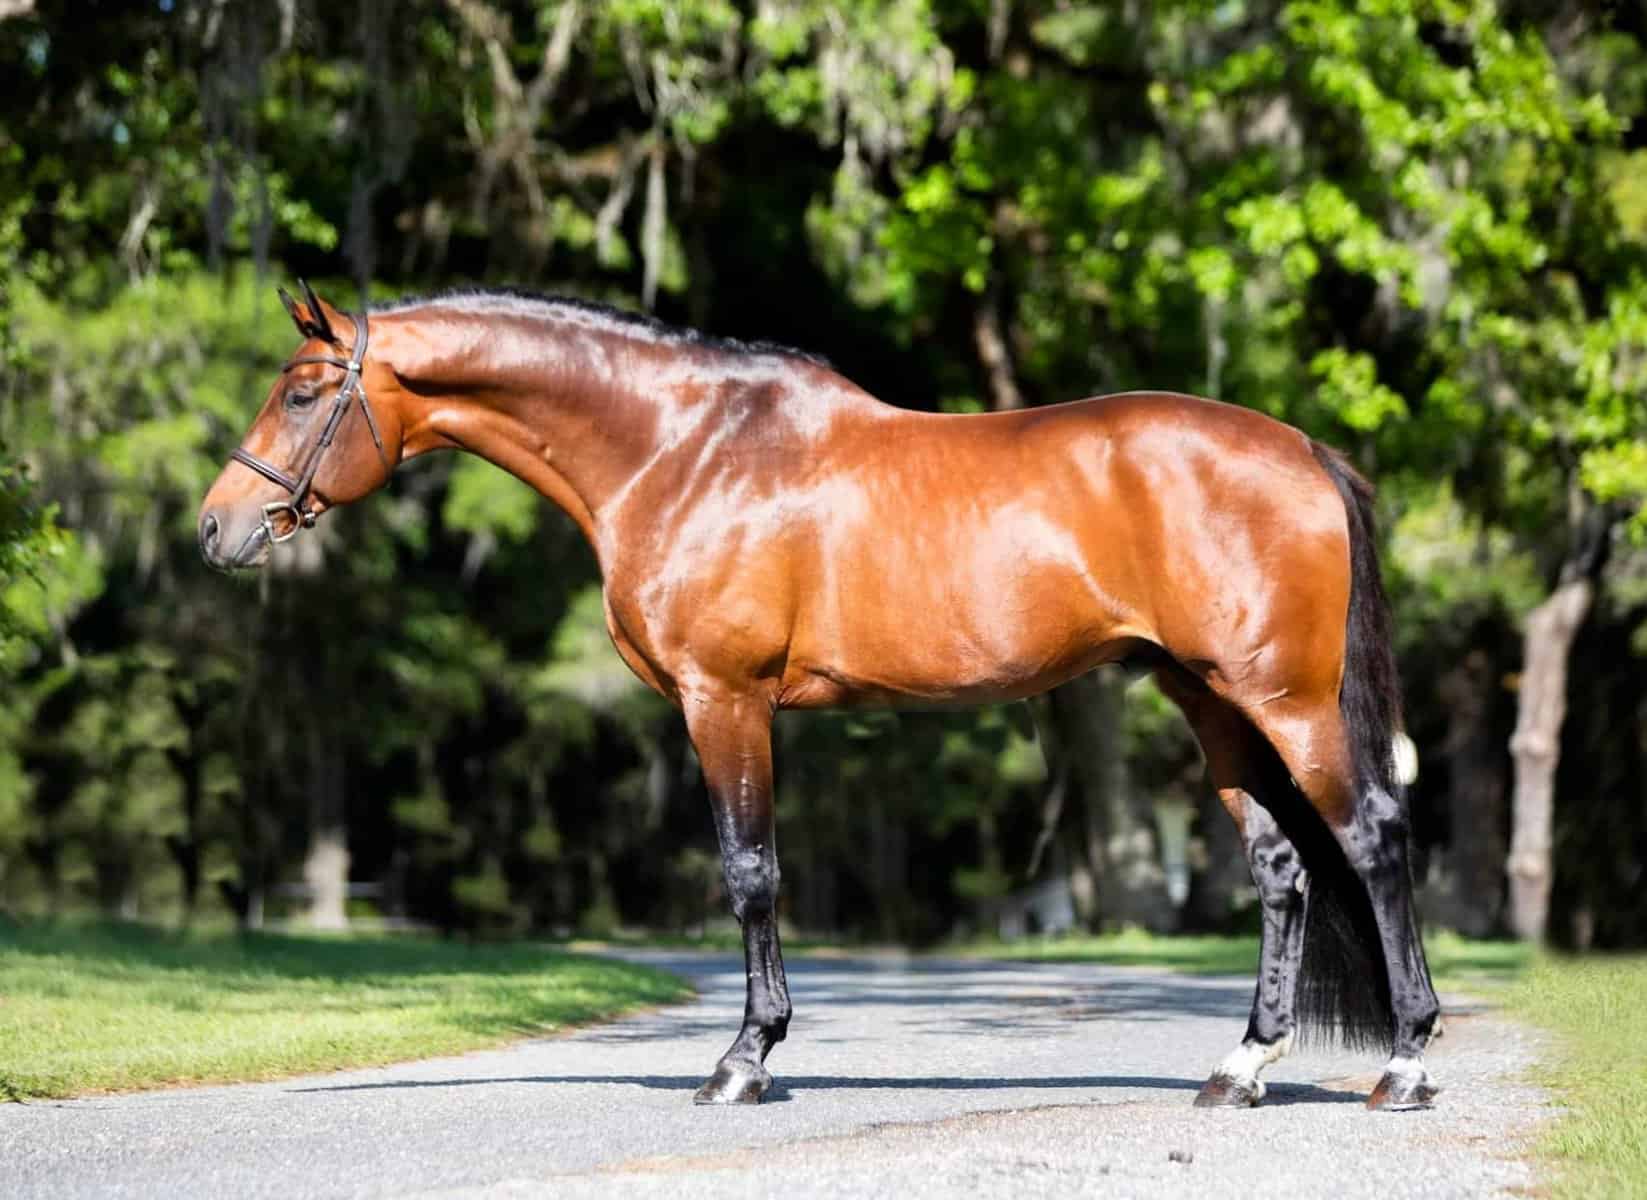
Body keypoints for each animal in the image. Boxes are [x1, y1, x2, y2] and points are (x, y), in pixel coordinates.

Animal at [198, 282, 1442, 1112]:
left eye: (303, 392)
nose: (217, 527)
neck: (680, 451)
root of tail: (1305, 451)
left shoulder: (724, 701)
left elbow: (751, 874)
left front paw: (742, 1061)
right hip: (1212, 703)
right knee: (1280, 869)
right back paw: (1240, 1069)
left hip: (1284, 702)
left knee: (1375, 838)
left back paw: (1405, 1062)